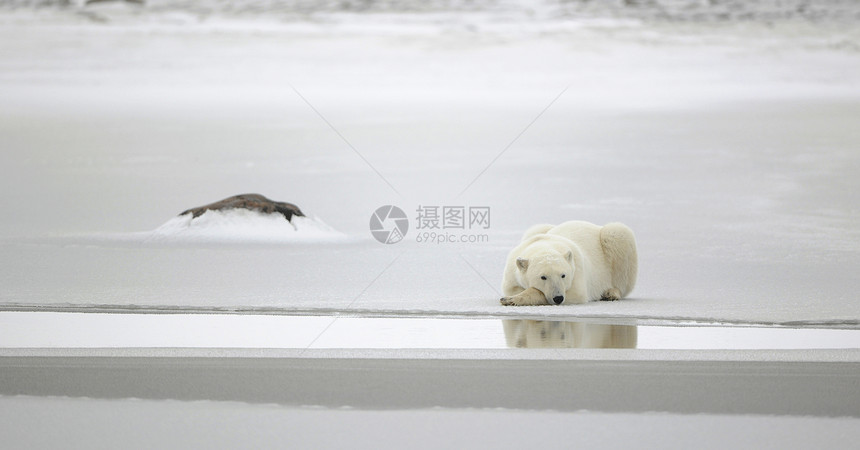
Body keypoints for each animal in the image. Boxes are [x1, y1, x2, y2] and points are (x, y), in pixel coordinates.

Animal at [500, 221, 636, 306]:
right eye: (543, 277)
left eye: (563, 275)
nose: (558, 298)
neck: (544, 244)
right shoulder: (512, 270)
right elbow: (513, 288)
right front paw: (509, 298)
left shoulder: (576, 269)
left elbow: (577, 293)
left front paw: (510, 300)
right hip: (536, 230)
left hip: (614, 243)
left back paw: (610, 293)